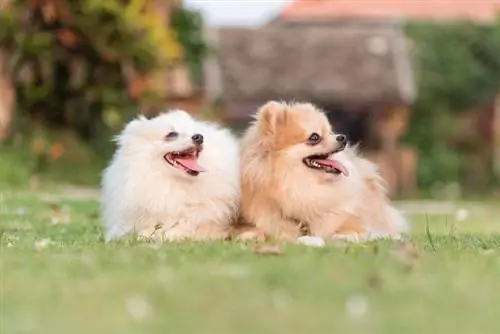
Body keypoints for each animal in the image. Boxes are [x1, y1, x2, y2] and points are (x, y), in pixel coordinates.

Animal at [239, 101, 410, 243]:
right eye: (314, 137)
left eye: (330, 132)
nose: (342, 137)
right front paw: (249, 236)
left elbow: (352, 227)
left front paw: (345, 236)